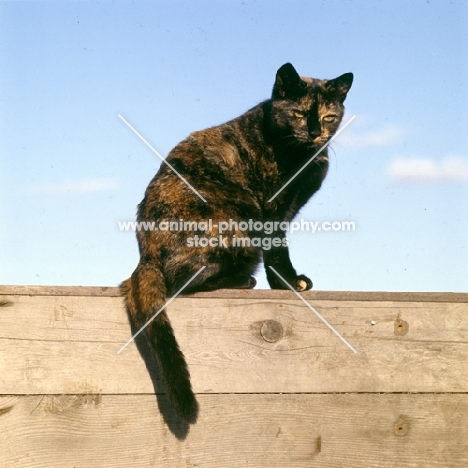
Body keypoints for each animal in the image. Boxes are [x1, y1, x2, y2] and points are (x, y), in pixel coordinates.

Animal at [120, 64, 352, 426]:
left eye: (329, 116)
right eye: (299, 114)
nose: (315, 133)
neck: (304, 156)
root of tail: (144, 256)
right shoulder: (272, 211)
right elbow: (278, 251)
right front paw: (288, 283)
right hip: (235, 227)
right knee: (179, 281)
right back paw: (243, 281)